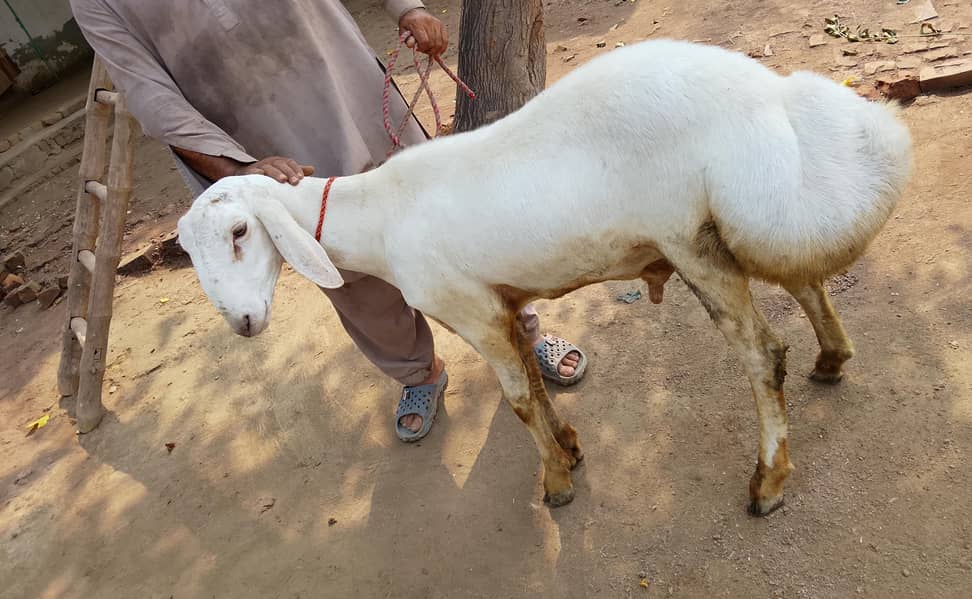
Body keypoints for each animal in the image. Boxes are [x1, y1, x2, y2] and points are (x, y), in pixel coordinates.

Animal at [176, 39, 912, 515]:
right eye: (189, 249)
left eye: (240, 232)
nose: (244, 323)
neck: (379, 219)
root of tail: (769, 99)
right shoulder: (500, 301)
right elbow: (533, 379)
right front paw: (570, 447)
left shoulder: (469, 309)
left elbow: (518, 400)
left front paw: (556, 482)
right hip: (736, 221)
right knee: (803, 277)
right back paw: (832, 358)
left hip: (691, 236)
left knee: (764, 353)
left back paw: (768, 482)